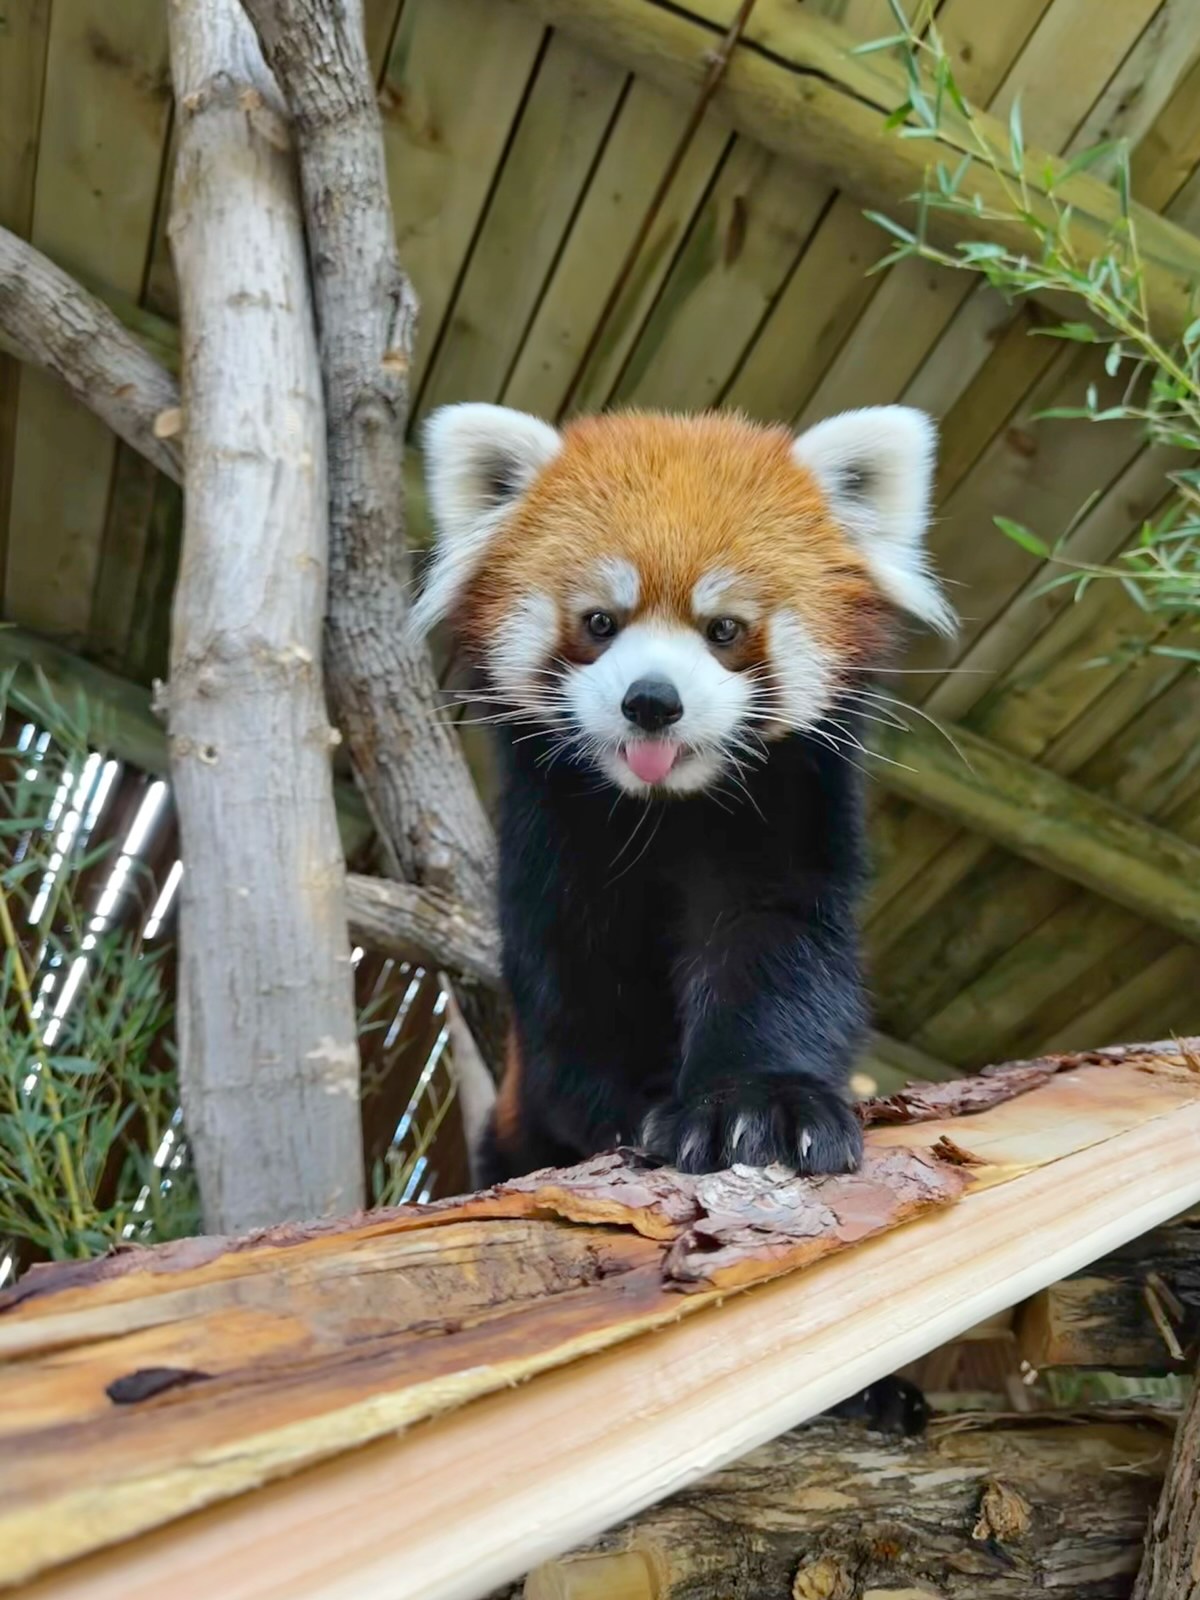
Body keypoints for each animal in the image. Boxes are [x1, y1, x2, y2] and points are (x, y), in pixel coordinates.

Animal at [419, 406, 953, 1184]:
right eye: (600, 622)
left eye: (723, 628)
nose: (651, 702)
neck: (662, 811)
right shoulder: (553, 839)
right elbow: (573, 979)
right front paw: (624, 1113)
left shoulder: (786, 812)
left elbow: (775, 942)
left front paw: (754, 1106)